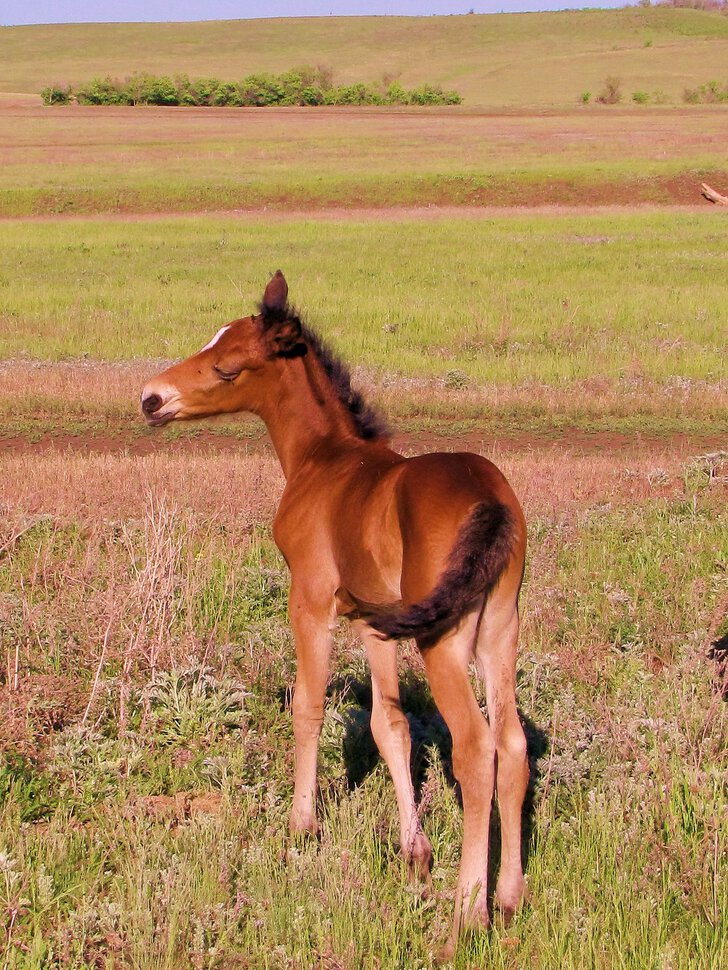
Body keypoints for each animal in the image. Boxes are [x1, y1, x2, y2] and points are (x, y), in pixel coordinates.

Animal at [141, 268, 528, 956]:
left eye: (226, 367)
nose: (151, 399)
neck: (325, 460)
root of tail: (492, 501)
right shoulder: (374, 620)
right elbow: (390, 725)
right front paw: (413, 851)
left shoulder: (313, 600)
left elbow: (309, 705)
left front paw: (302, 825)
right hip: (498, 633)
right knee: (512, 743)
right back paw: (508, 900)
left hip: (446, 641)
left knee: (476, 748)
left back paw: (467, 915)